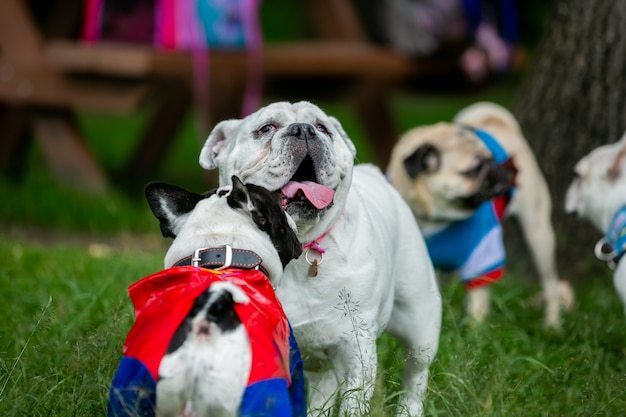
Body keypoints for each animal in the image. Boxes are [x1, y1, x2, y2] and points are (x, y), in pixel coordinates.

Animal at [388, 102, 572, 326]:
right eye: (473, 170)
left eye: (491, 159)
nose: (496, 169)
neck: (431, 219)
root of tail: (500, 123)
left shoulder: (482, 259)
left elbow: (479, 302)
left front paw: (475, 328)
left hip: (538, 234)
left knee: (550, 284)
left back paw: (552, 325)